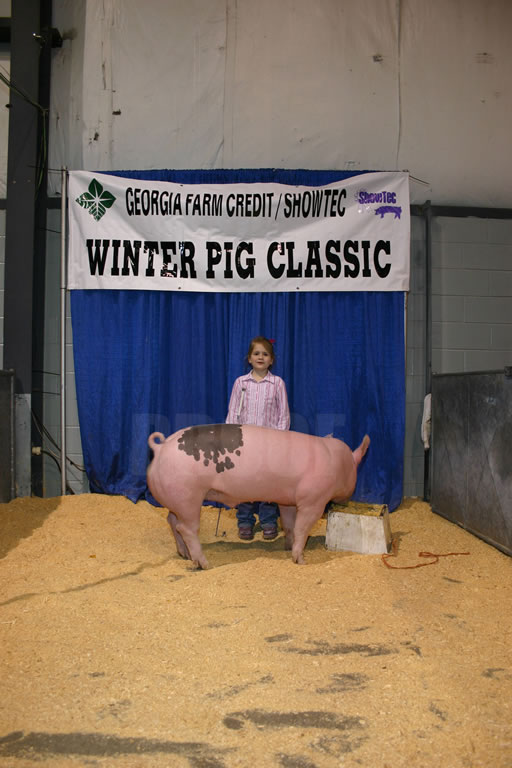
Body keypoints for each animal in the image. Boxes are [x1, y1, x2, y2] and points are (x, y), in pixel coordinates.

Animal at [147, 423, 370, 569]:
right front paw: (301, 560)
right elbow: (302, 527)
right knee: (186, 528)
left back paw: (183, 555)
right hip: (188, 496)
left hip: (178, 499)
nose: (350, 496)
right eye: (356, 470)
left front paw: (287, 547)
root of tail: (161, 447)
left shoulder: (288, 501)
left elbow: (290, 525)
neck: (338, 463)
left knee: (172, 521)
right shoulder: (313, 500)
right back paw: (204, 564)